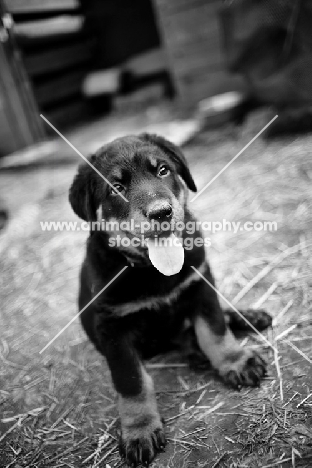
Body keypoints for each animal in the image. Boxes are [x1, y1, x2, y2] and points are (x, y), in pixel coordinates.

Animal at [69, 133, 270, 466]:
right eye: (116, 187)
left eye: (162, 170)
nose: (161, 212)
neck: (152, 270)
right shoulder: (112, 326)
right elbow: (131, 380)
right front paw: (139, 429)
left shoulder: (200, 283)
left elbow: (214, 330)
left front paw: (235, 361)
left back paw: (249, 318)